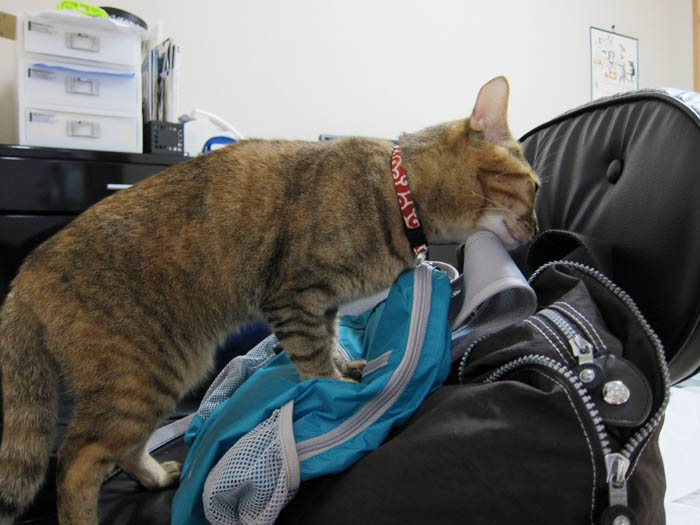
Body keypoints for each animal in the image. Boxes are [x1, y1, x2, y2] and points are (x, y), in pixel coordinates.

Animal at [0, 76, 539, 524]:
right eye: (534, 187)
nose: (536, 230)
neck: (399, 194)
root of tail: (26, 272)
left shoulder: (321, 304)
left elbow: (330, 342)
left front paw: (347, 366)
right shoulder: (293, 296)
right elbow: (314, 361)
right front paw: (334, 390)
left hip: (163, 374)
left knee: (121, 448)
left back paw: (155, 475)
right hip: (140, 374)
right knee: (76, 462)